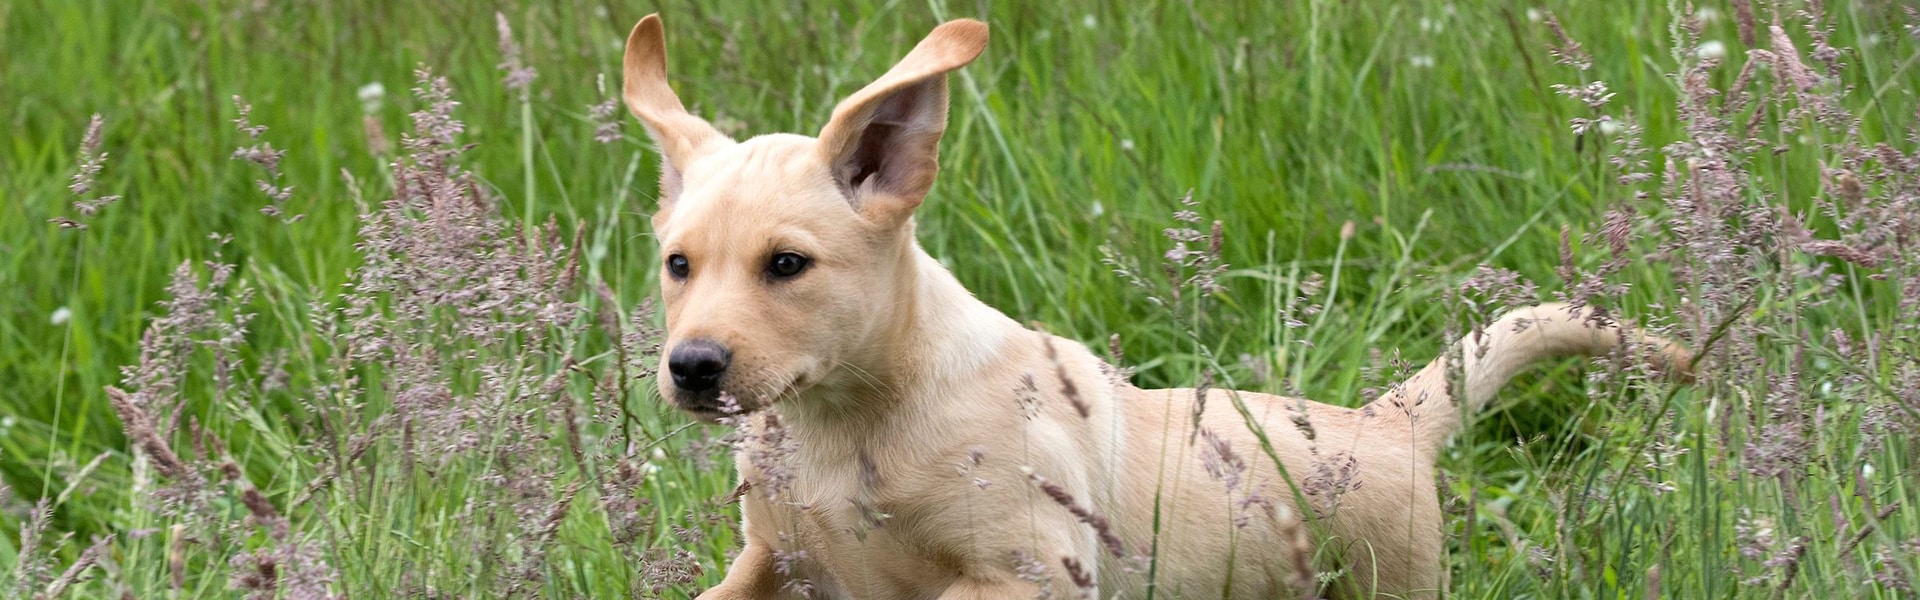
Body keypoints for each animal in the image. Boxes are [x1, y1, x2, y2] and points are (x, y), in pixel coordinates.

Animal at [622, 14, 1689, 600]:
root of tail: (1391, 424)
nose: (693, 368)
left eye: (787, 265)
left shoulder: (1028, 572)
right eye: (677, 264)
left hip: (1395, 578)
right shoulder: (776, 564)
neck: (846, 421)